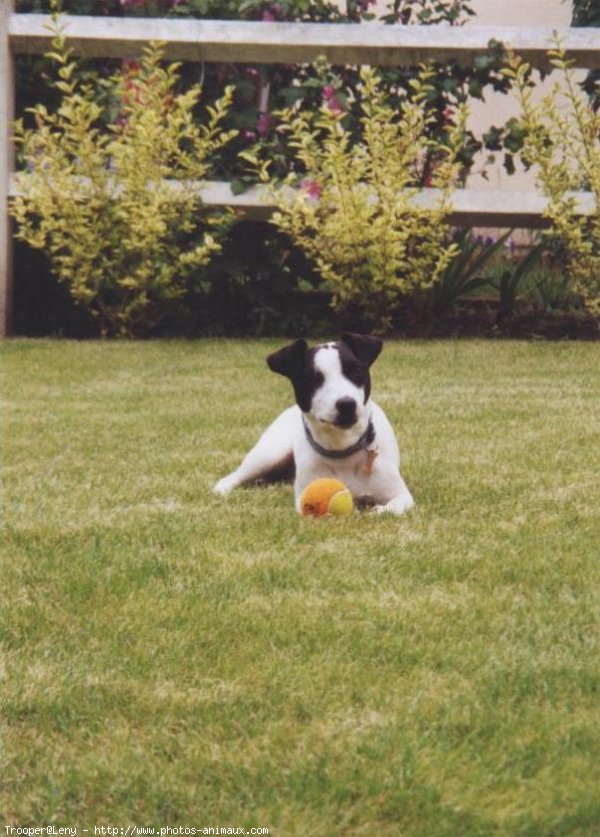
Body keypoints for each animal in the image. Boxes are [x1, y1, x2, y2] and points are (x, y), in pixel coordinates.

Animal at [213, 334, 414, 516]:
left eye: (356, 370)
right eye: (313, 378)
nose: (346, 404)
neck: (342, 450)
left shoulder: (402, 496)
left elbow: (389, 509)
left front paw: (375, 510)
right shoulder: (303, 496)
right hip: (269, 453)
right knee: (235, 476)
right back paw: (222, 489)